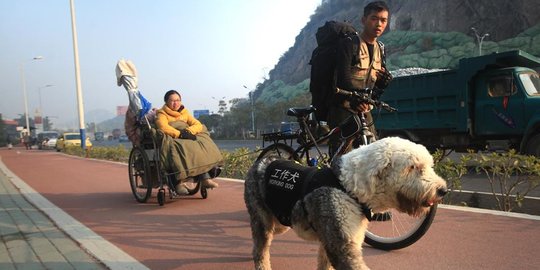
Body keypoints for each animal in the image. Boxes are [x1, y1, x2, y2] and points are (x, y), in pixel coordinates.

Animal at [245, 137, 448, 270]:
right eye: (413, 167)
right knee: (260, 249)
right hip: (261, 218)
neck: (348, 188)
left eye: (429, 165)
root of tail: (261, 161)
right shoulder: (342, 245)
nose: (443, 190)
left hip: (279, 221)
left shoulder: (338, 238)